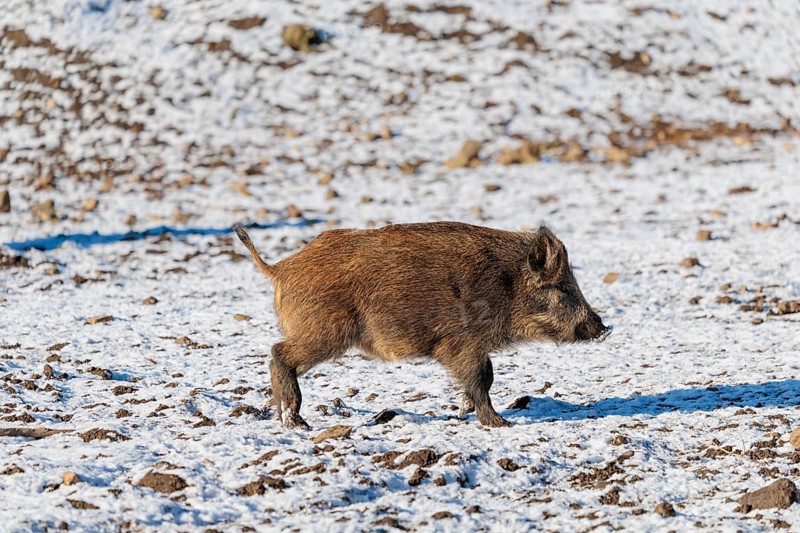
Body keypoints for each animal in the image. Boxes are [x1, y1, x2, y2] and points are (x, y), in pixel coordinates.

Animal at [234, 221, 610, 429]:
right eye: (562, 287)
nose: (603, 327)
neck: (506, 286)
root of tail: (280, 268)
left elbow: (483, 379)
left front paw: (465, 412)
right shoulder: (463, 343)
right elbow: (482, 379)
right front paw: (500, 423)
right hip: (323, 332)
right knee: (278, 353)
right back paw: (298, 422)